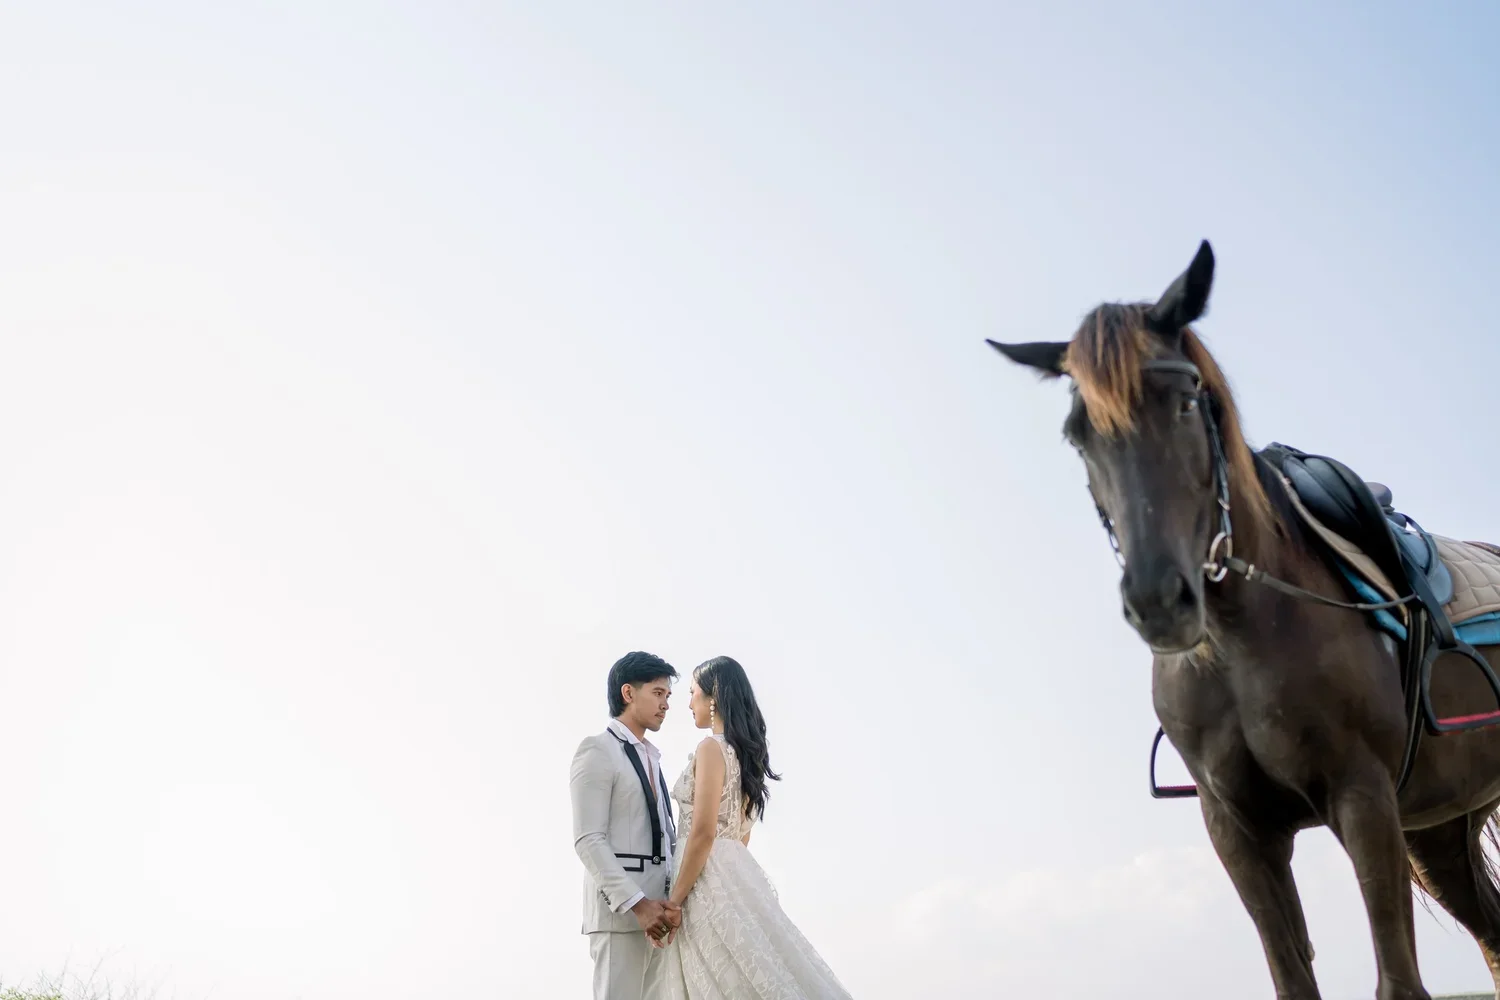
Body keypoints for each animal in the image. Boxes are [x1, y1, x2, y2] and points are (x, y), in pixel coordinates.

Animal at [988, 240, 1500, 1000]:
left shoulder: (1364, 801)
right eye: (1079, 434)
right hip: (1442, 831)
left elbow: (1398, 982)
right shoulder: (1239, 831)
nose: (1158, 601)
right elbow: (1293, 977)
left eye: (1184, 402)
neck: (1240, 640)